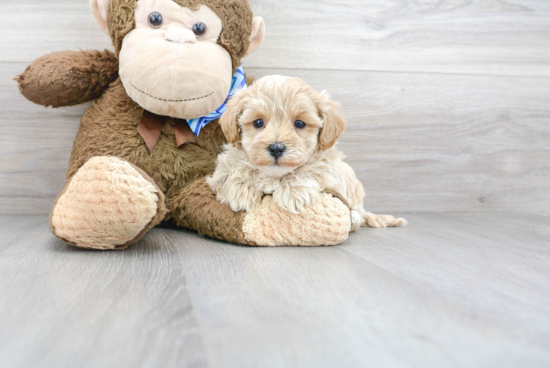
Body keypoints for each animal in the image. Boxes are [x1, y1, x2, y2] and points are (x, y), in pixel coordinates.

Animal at [209, 75, 408, 229]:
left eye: (299, 123)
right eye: (258, 122)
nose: (276, 147)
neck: (274, 175)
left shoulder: (328, 167)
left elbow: (310, 169)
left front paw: (293, 192)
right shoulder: (221, 168)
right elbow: (230, 172)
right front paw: (241, 190)